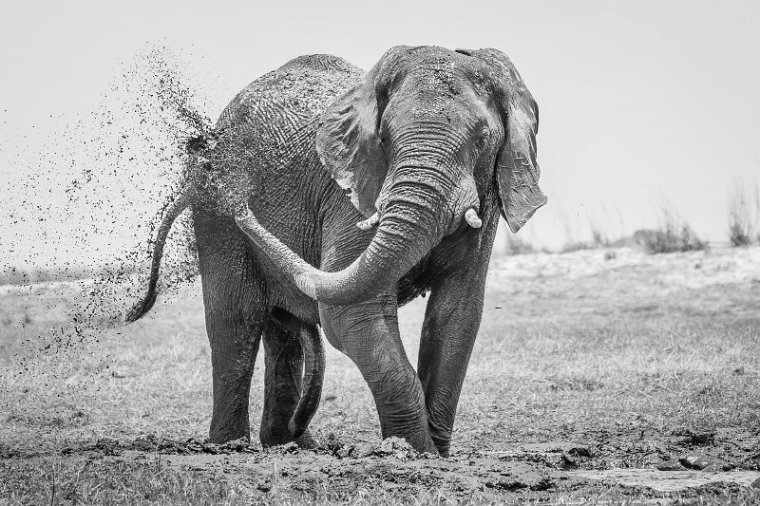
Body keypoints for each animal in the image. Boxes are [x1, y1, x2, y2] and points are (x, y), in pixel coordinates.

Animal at [129, 46, 548, 454]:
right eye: (385, 139)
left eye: (482, 139)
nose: (235, 191)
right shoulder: (350, 196)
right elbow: (350, 313)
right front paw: (412, 451)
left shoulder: (488, 202)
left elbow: (456, 314)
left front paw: (434, 452)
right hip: (214, 218)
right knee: (236, 319)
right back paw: (230, 446)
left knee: (281, 333)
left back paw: (291, 444)